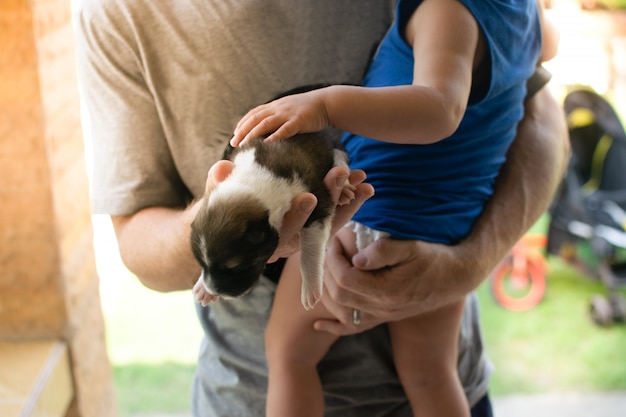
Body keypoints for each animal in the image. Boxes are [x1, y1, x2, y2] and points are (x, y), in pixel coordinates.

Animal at [188, 129, 354, 308]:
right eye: (201, 264)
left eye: (235, 266)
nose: (213, 290)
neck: (252, 180)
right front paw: (202, 287)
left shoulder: (316, 203)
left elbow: (310, 249)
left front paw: (311, 287)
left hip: (329, 144)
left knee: (340, 154)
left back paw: (345, 186)